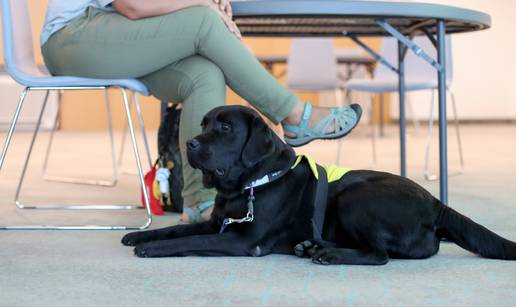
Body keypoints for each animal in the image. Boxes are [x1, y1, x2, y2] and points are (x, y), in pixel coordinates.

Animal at [123, 106, 516, 264]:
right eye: (204, 123)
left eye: (225, 128)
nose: (190, 143)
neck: (248, 185)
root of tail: (436, 203)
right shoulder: (218, 222)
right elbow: (176, 230)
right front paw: (141, 235)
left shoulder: (243, 240)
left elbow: (189, 241)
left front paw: (151, 249)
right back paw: (311, 245)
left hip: (357, 198)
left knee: (380, 255)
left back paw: (328, 254)